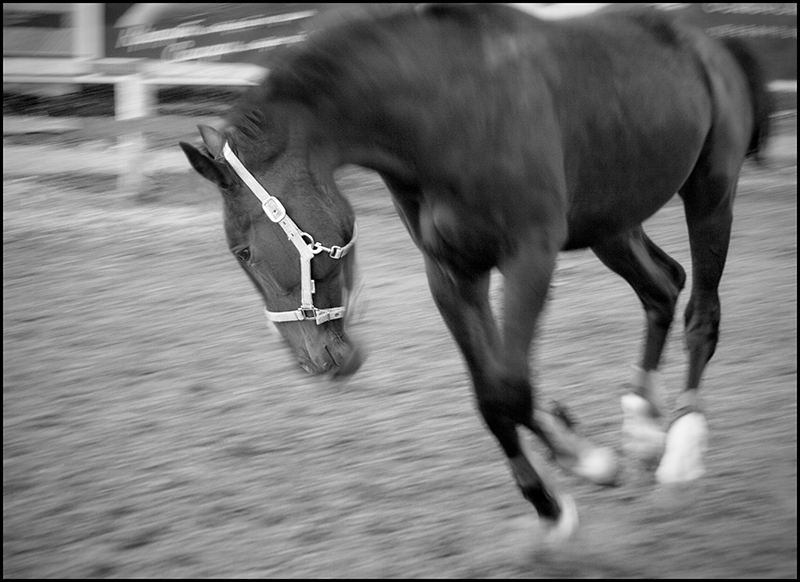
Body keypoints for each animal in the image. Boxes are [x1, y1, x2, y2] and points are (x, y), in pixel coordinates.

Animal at [180, 5, 768, 544]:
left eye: (243, 252)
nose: (315, 362)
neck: (447, 115)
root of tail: (711, 44)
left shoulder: (529, 257)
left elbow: (510, 387)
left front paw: (585, 463)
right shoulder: (452, 274)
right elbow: (490, 397)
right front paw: (554, 499)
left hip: (710, 197)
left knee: (702, 313)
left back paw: (681, 450)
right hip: (611, 225)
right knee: (663, 287)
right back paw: (644, 429)